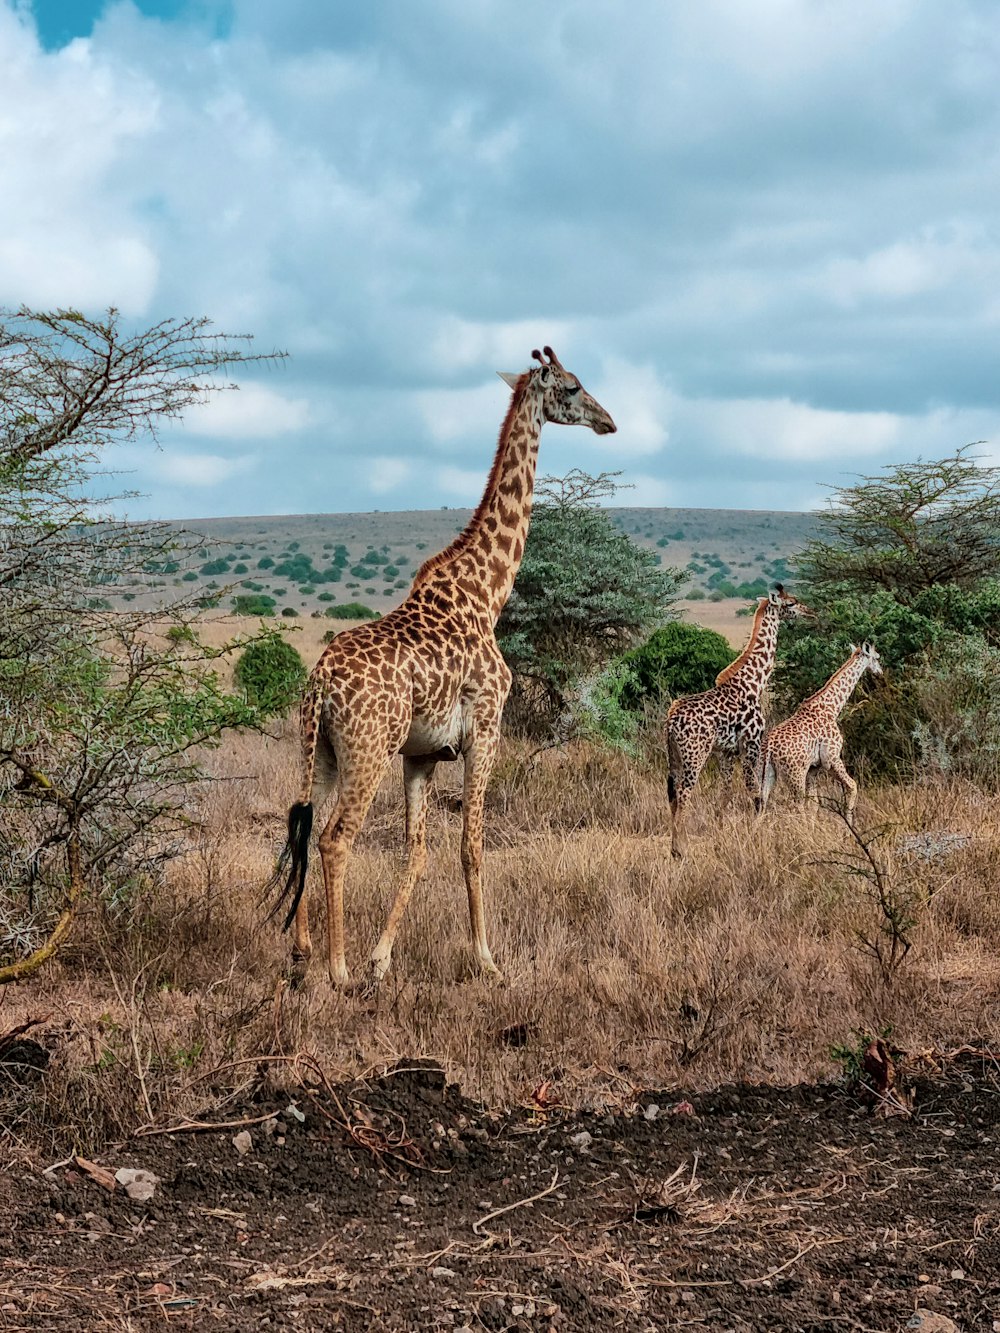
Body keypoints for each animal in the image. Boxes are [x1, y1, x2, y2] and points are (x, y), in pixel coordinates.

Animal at [266, 349, 616, 997]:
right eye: (574, 388)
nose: (610, 421)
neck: (487, 593)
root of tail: (321, 683)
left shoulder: (423, 755)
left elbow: (418, 852)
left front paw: (382, 958)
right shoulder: (487, 729)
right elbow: (471, 847)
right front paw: (486, 959)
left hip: (319, 750)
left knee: (302, 824)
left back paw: (302, 955)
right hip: (368, 750)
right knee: (334, 839)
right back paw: (337, 969)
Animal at [666, 581, 816, 853]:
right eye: (791, 603)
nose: (810, 612)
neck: (754, 682)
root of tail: (671, 720)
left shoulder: (727, 752)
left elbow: (724, 793)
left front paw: (720, 837)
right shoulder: (752, 744)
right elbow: (755, 792)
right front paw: (757, 834)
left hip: (674, 755)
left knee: (672, 794)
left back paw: (675, 847)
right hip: (695, 754)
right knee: (683, 794)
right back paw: (680, 850)